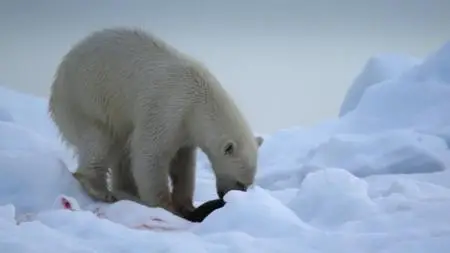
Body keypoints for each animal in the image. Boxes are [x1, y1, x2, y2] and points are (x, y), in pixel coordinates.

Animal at [48, 27, 264, 217]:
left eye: (247, 184)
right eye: (239, 182)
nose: (226, 197)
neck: (199, 101)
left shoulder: (185, 129)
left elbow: (183, 164)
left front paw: (186, 204)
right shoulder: (167, 110)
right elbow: (150, 154)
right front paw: (165, 205)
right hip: (87, 99)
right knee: (100, 140)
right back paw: (101, 190)